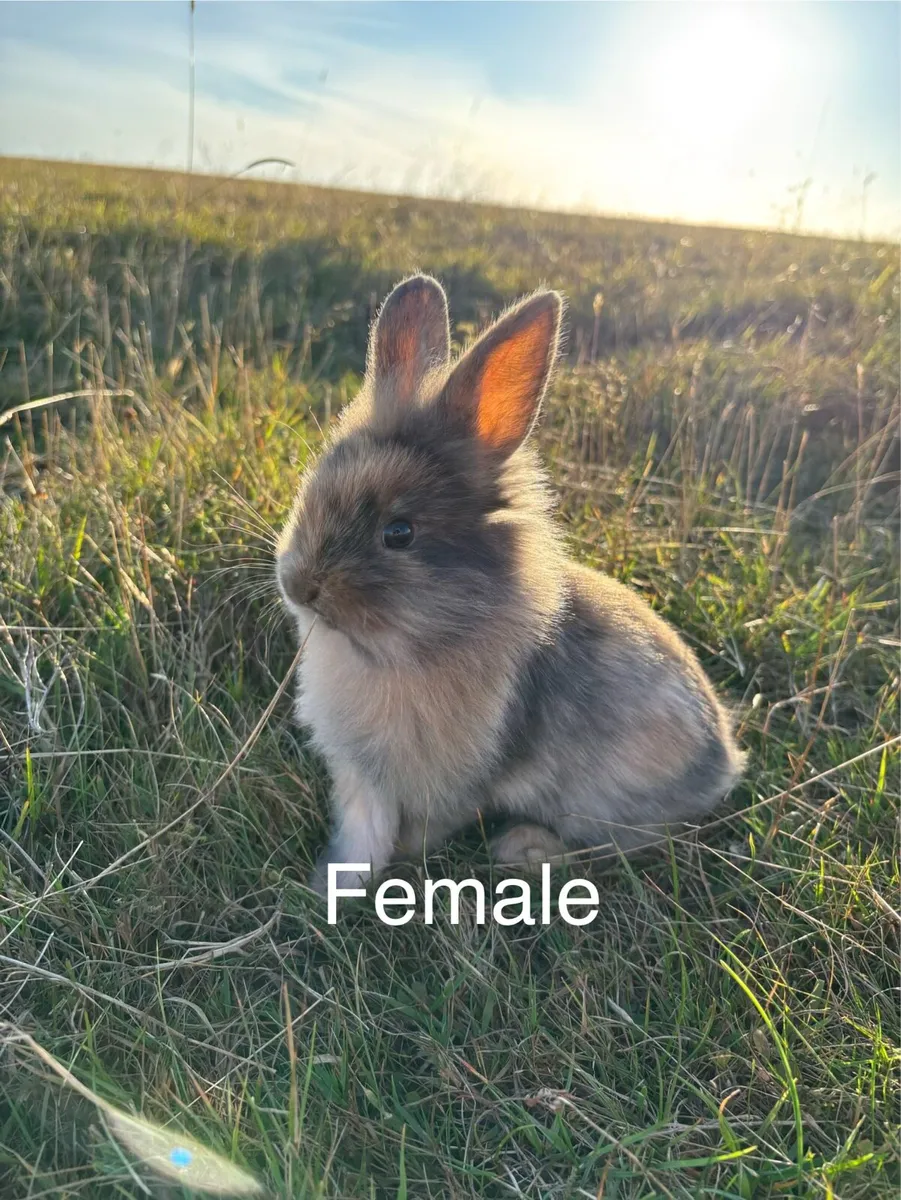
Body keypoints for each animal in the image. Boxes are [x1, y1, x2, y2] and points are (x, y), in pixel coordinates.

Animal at [276, 274, 745, 896]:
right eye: (311, 490)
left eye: (399, 533)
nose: (297, 584)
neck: (405, 650)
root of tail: (725, 761)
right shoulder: (363, 782)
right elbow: (361, 833)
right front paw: (331, 884)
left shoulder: (452, 785)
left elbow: (418, 829)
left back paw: (521, 848)